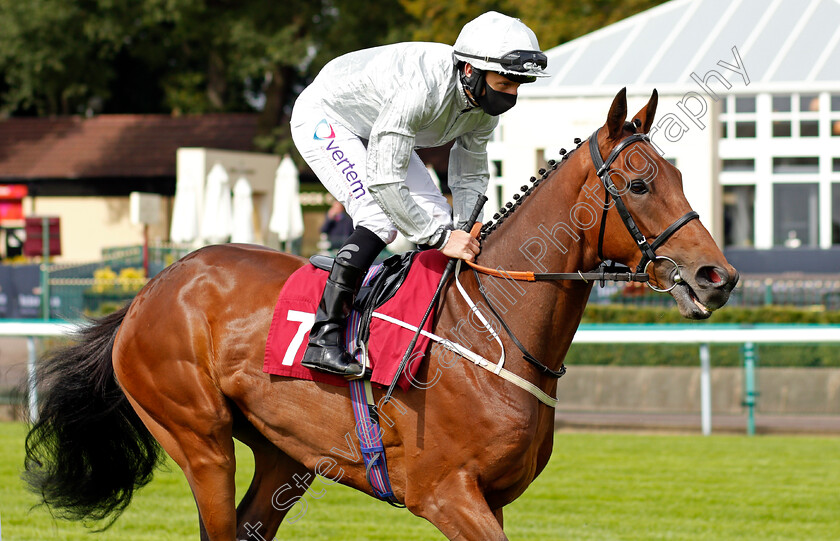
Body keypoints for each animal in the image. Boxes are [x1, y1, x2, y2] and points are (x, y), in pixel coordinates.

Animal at [24, 88, 736, 540]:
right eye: (639, 184)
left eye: (680, 176)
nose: (718, 277)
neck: (494, 332)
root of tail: (151, 290)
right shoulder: (447, 494)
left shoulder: (492, 499)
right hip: (198, 439)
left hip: (285, 453)